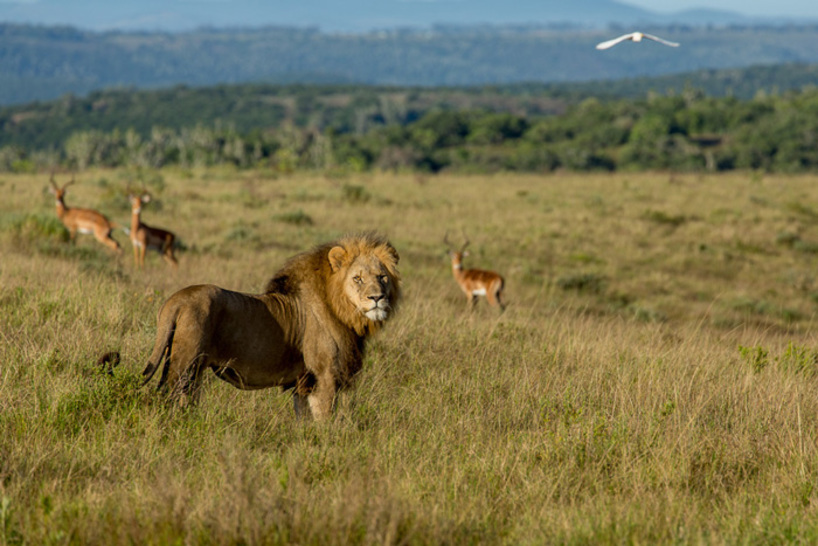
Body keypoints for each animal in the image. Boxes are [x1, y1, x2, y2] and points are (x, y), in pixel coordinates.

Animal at [141, 232, 402, 418]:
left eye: (382, 277)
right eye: (357, 279)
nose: (377, 298)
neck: (343, 310)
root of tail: (175, 301)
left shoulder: (303, 383)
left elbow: (304, 419)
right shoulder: (324, 376)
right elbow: (325, 420)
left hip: (193, 369)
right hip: (184, 365)